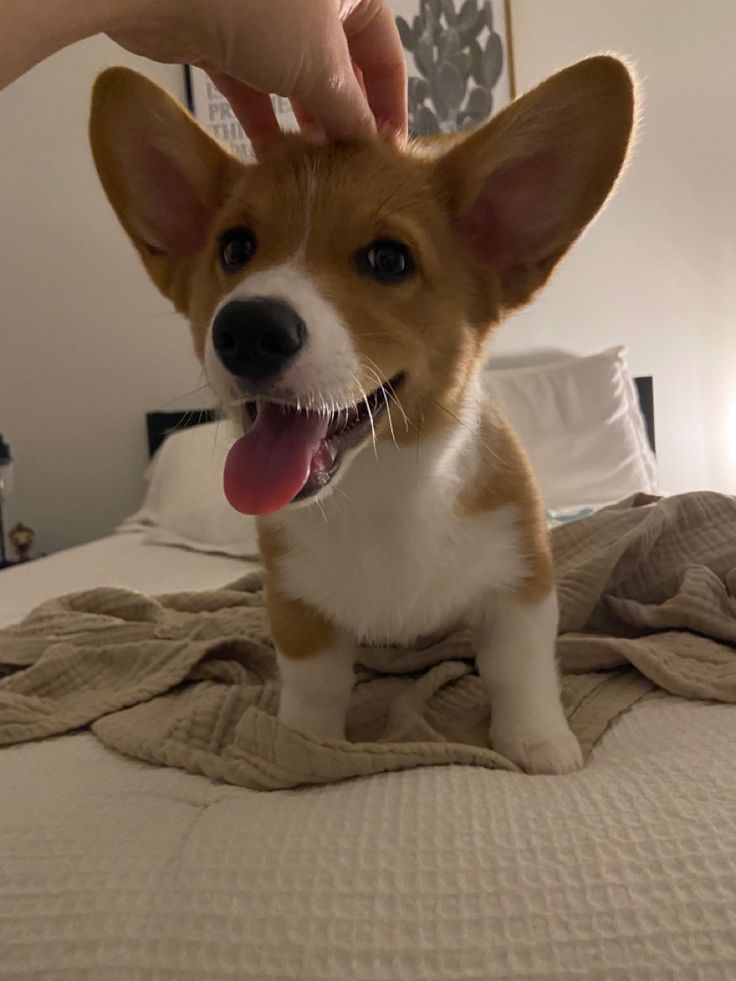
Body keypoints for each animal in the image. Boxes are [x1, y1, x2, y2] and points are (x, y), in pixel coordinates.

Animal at [90, 55, 632, 772]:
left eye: (389, 259)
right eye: (235, 248)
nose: (248, 329)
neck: (382, 487)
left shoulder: (521, 585)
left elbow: (520, 668)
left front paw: (539, 743)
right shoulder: (296, 607)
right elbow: (314, 687)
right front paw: (303, 745)